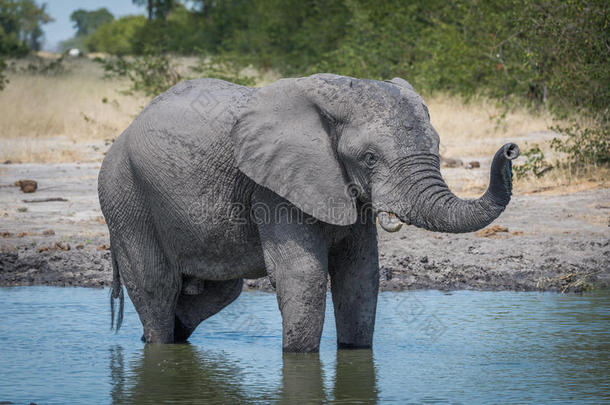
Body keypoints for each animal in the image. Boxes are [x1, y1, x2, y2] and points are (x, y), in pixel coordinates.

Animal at [97, 74, 516, 352]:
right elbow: (304, 276)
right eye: (369, 158)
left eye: (438, 145)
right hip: (124, 195)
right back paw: (158, 345)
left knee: (221, 290)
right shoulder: (272, 187)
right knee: (156, 285)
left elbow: (360, 276)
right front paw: (299, 359)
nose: (510, 149)